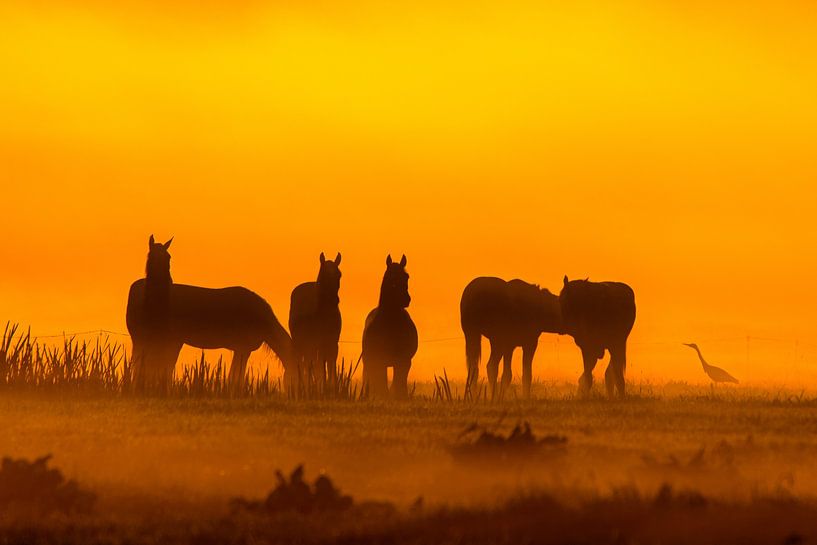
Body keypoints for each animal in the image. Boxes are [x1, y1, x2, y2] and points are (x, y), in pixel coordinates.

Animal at [289, 252, 342, 389]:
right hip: (301, 343)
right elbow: (315, 365)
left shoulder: (332, 343)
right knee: (304, 363)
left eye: (339, 274)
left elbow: (331, 365)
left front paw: (332, 386)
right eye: (323, 273)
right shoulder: (312, 343)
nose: (334, 300)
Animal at [361, 254, 417, 399]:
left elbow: (400, 383)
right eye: (390, 277)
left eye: (406, 276)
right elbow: (382, 384)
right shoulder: (379, 360)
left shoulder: (404, 360)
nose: (406, 299)